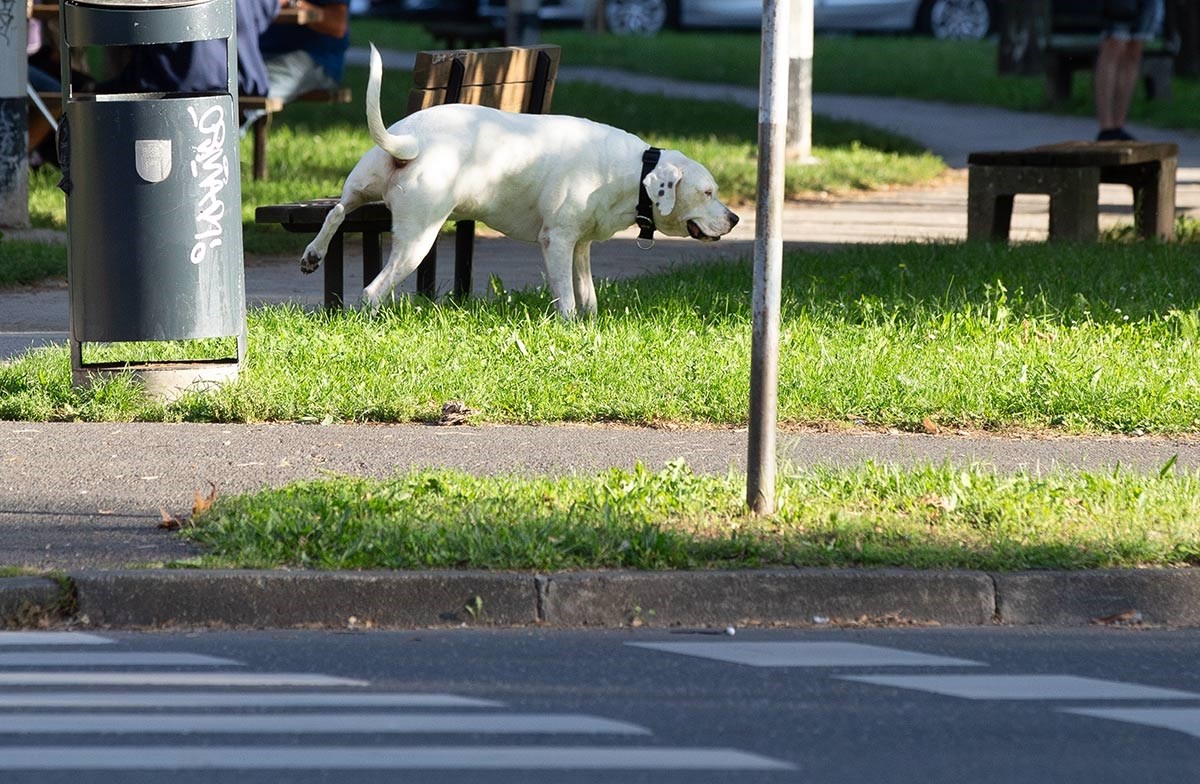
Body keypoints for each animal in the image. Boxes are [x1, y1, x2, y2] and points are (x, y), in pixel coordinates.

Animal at [300, 42, 734, 316]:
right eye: (708, 192)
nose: (735, 219)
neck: (633, 171)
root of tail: (412, 142)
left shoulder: (580, 246)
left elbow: (587, 296)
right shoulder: (556, 241)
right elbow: (568, 301)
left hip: (361, 186)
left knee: (337, 211)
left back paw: (314, 254)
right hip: (417, 239)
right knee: (372, 291)